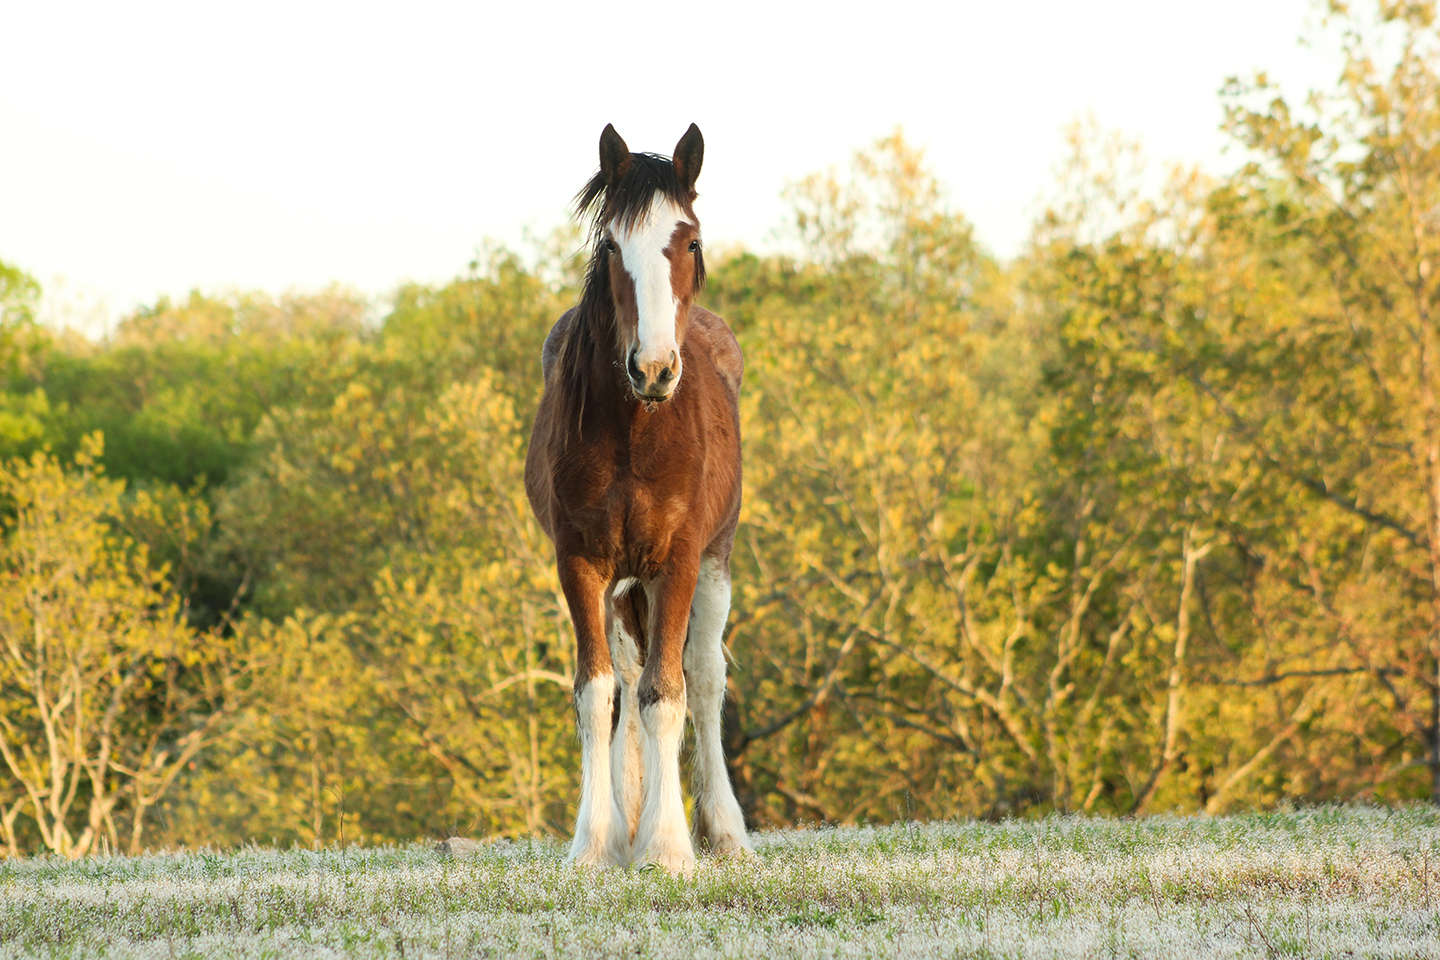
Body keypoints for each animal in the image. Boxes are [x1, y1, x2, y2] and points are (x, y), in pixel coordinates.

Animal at [524, 123, 753, 874]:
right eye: (609, 246)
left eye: (690, 241)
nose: (652, 368)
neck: (635, 434)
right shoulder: (581, 563)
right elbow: (599, 693)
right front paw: (598, 842)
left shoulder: (677, 561)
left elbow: (667, 693)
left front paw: (668, 846)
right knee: (626, 674)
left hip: (715, 561)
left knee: (704, 678)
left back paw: (725, 831)